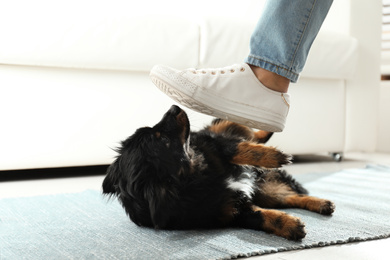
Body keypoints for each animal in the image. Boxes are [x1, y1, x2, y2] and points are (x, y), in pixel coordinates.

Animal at [104, 104, 336, 240]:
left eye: (155, 132)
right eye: (161, 138)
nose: (174, 107)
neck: (196, 176)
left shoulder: (211, 143)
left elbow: (238, 149)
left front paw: (273, 156)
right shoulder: (232, 211)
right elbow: (259, 217)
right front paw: (289, 225)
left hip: (221, 132)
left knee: (246, 128)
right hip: (267, 193)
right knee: (290, 197)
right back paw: (322, 204)